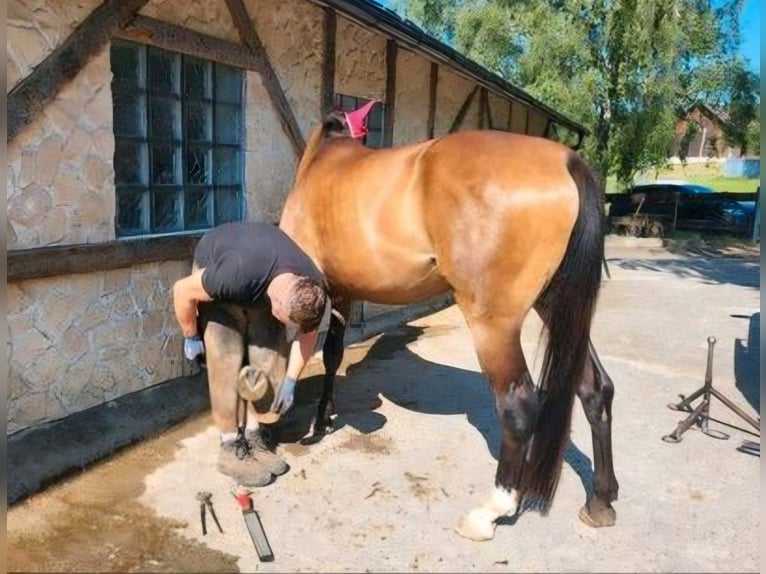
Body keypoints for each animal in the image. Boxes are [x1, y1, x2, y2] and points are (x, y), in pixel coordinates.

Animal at [280, 101, 620, 544]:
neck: (323, 162)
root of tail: (567, 160)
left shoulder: (317, 283)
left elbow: (320, 351)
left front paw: (315, 424)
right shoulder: (341, 288)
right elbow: (334, 353)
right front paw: (324, 417)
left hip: (493, 325)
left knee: (519, 405)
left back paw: (490, 512)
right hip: (558, 307)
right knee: (595, 389)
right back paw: (601, 499)